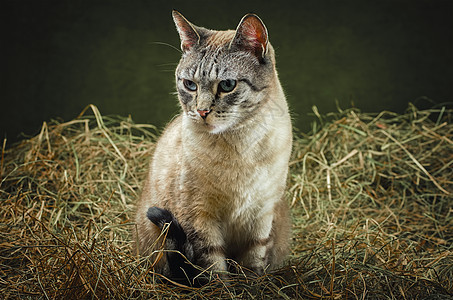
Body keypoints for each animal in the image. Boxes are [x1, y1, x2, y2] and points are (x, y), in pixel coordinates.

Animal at [132, 10, 292, 284]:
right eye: (190, 85)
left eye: (227, 85)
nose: (202, 111)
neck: (240, 144)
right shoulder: (199, 216)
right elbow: (214, 269)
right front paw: (223, 288)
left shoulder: (261, 215)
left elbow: (252, 265)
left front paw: (252, 287)